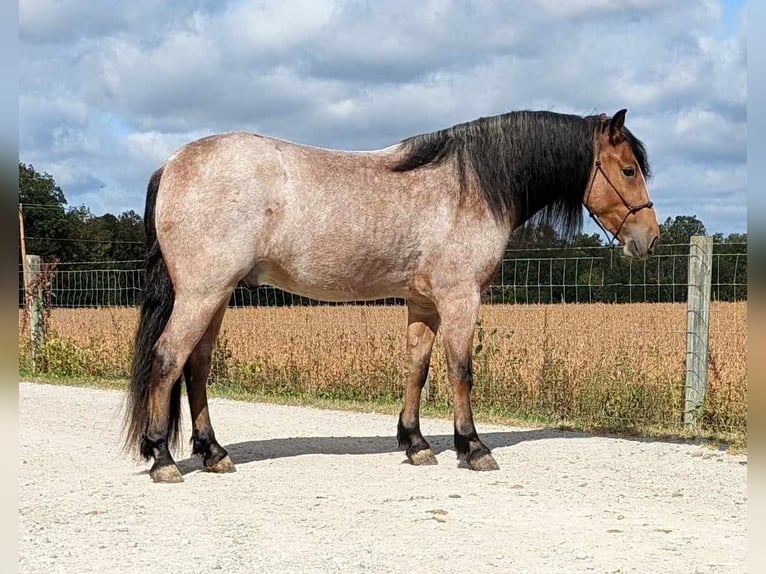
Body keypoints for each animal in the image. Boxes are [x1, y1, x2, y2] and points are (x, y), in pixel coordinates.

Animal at [124, 107, 660, 482]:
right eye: (629, 170)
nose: (649, 238)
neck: (469, 187)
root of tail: (171, 164)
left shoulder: (423, 303)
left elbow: (417, 368)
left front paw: (416, 443)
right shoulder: (460, 298)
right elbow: (461, 370)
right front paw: (473, 448)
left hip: (216, 295)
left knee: (197, 365)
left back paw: (214, 453)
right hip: (201, 293)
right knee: (168, 358)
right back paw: (163, 458)